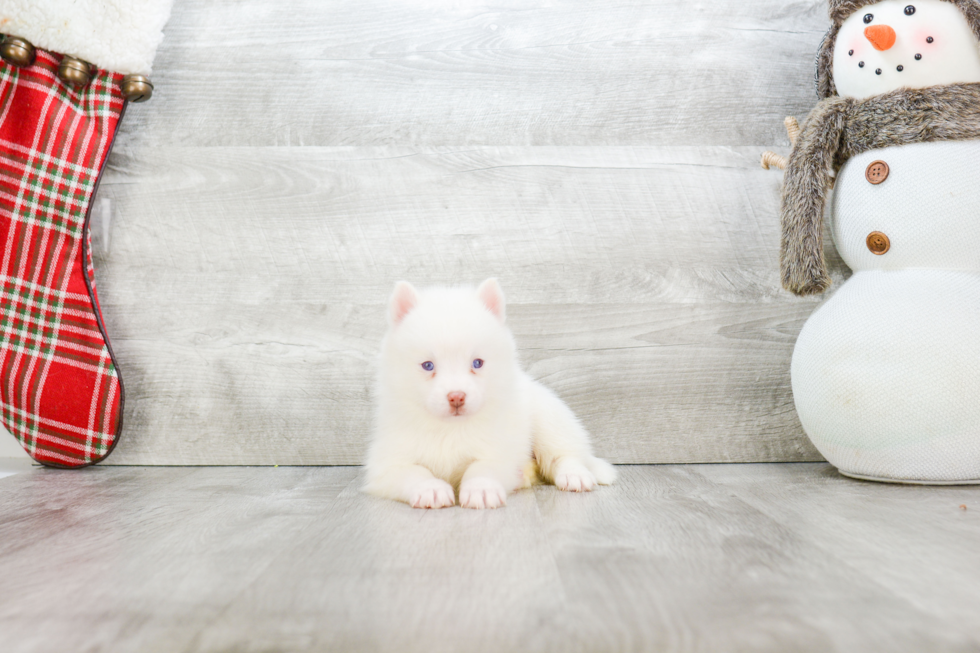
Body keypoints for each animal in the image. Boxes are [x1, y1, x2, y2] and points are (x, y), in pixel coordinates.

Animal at [364, 276, 616, 510]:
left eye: (477, 363)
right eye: (428, 365)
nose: (457, 396)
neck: (449, 430)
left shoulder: (499, 451)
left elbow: (481, 467)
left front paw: (481, 488)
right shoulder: (387, 464)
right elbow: (414, 472)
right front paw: (430, 488)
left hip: (549, 419)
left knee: (565, 454)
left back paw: (574, 475)